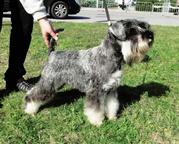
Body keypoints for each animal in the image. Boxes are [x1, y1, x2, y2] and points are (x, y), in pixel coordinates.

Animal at [23, 19, 154, 126]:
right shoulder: (95, 91)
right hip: (48, 82)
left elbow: (112, 105)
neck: (109, 56)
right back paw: (29, 110)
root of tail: (52, 54)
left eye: (142, 26)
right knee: (32, 94)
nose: (150, 35)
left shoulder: (111, 90)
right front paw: (97, 122)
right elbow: (95, 109)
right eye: (131, 31)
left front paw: (112, 118)